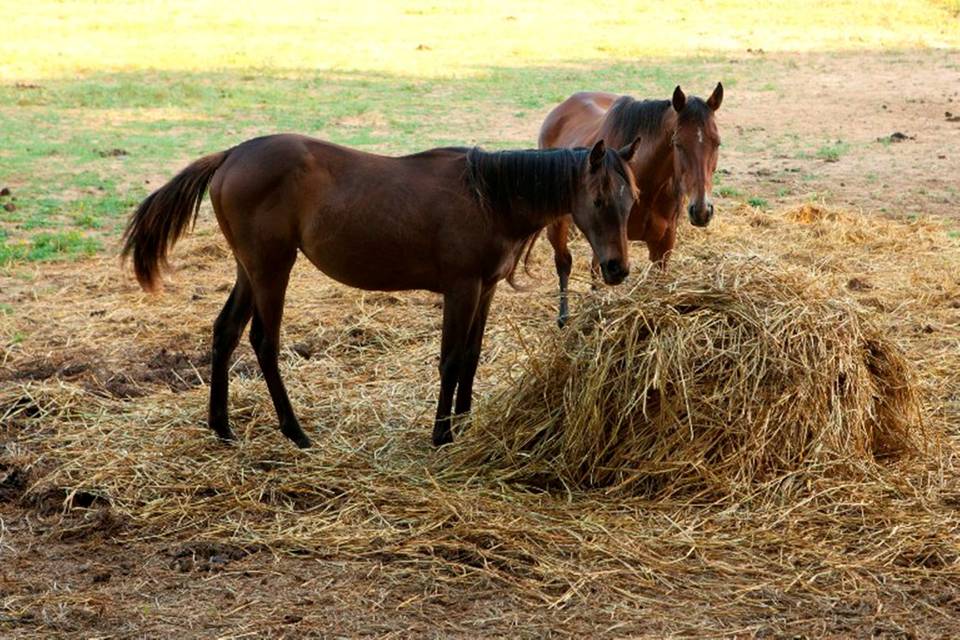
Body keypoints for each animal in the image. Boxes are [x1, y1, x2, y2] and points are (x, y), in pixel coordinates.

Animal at [124, 133, 640, 448]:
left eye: (632, 198)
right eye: (598, 199)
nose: (616, 269)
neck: (490, 198)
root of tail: (231, 155)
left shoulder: (486, 289)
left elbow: (472, 358)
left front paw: (464, 423)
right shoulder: (461, 289)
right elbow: (451, 360)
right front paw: (442, 434)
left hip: (249, 269)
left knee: (225, 332)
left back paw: (223, 428)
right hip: (272, 268)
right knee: (264, 343)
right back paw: (295, 432)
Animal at [540, 84, 720, 324]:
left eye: (717, 142)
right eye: (677, 143)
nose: (701, 210)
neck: (645, 181)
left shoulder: (664, 241)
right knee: (563, 261)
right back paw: (564, 317)